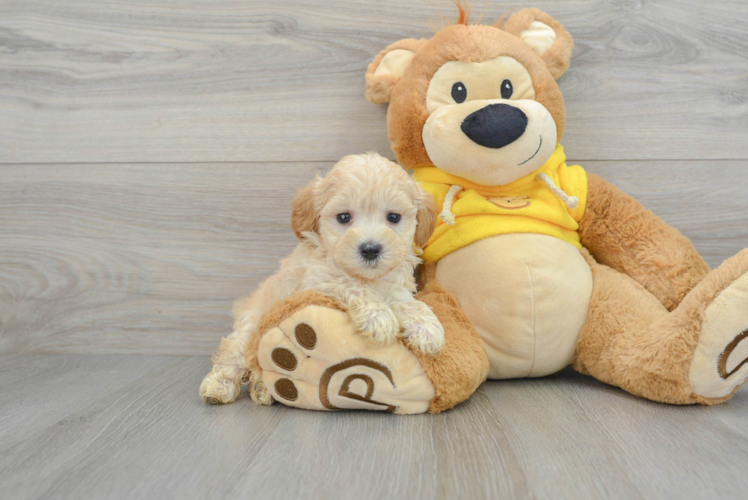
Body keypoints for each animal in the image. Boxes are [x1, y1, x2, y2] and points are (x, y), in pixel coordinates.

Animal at [199, 150, 444, 404]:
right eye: (344, 217)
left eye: (394, 217)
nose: (370, 249)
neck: (368, 277)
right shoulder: (318, 281)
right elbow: (352, 285)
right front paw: (379, 319)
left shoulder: (395, 287)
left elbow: (409, 303)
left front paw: (427, 327)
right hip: (250, 326)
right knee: (235, 356)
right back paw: (219, 387)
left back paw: (262, 388)